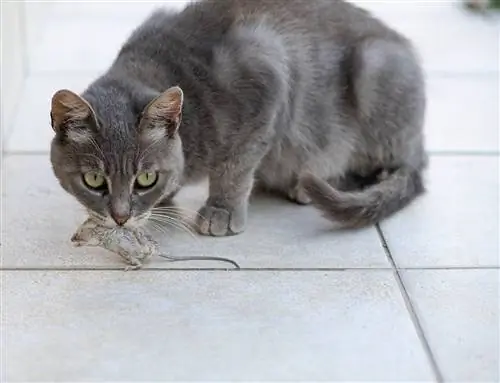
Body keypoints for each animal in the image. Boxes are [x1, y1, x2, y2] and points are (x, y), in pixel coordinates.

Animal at [49, 0, 426, 237]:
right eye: (94, 180)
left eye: (145, 178)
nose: (121, 217)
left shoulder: (265, 77)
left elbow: (235, 167)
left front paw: (221, 210)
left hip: (375, 68)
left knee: (385, 168)